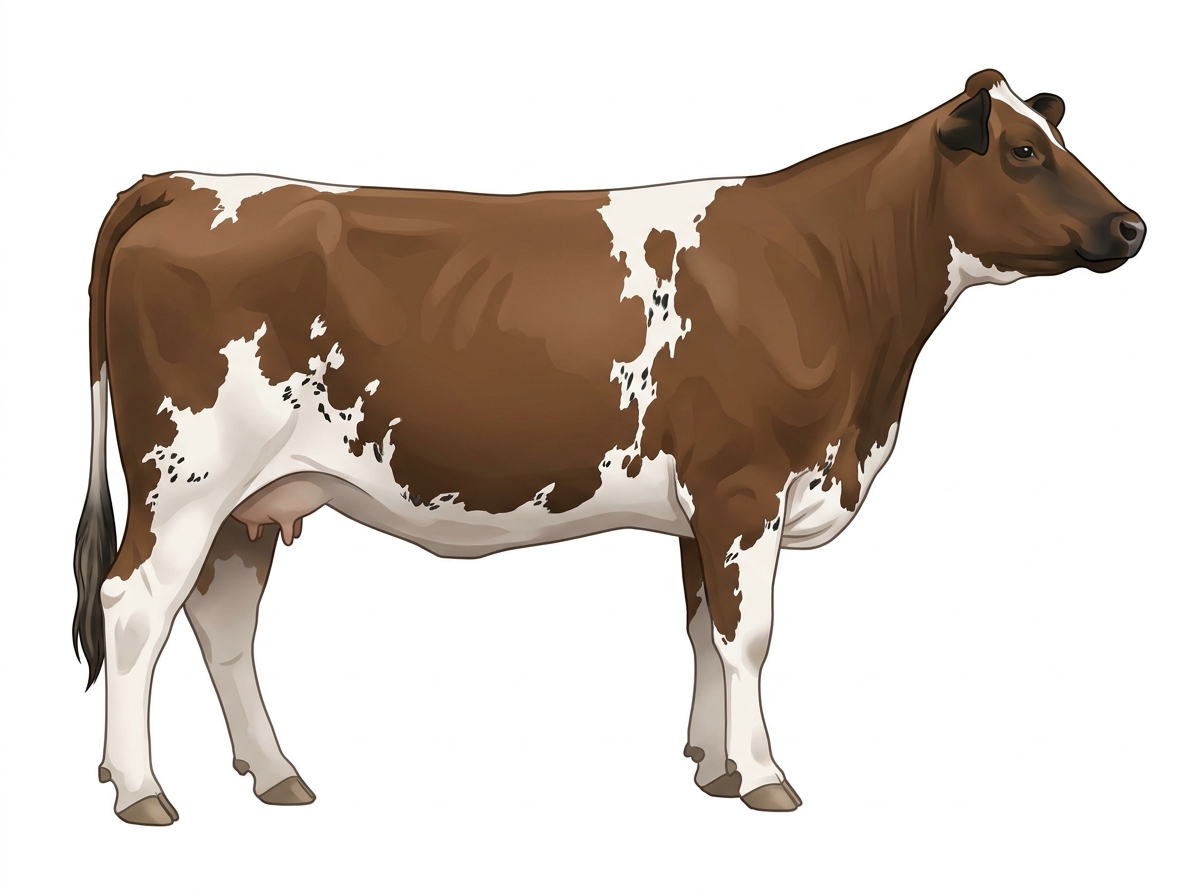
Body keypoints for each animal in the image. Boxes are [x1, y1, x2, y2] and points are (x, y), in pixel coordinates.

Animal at [74, 69, 1144, 825]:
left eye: (1058, 138)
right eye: (1021, 150)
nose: (1132, 225)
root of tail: (186, 182)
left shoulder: (705, 505)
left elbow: (705, 629)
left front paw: (714, 768)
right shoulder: (746, 484)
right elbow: (750, 633)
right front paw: (766, 776)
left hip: (253, 499)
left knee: (221, 622)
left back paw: (277, 775)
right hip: (187, 479)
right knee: (135, 609)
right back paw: (141, 792)